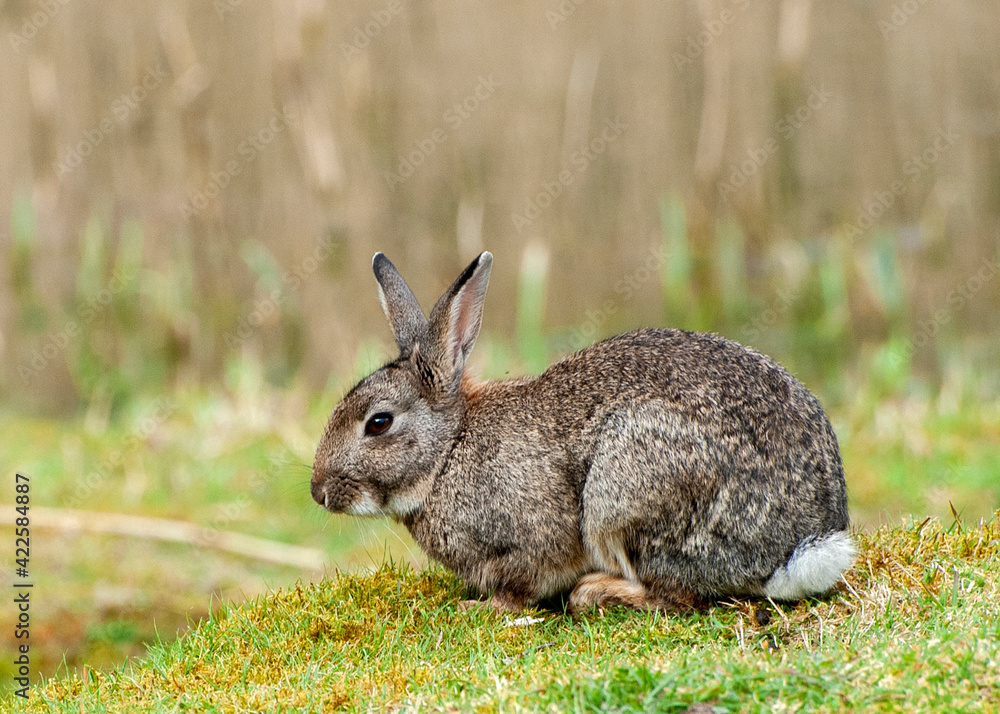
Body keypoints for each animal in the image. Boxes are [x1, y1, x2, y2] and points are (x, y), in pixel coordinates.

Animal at [311, 251, 855, 613]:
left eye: (378, 422)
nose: (318, 493)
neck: (449, 451)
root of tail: (794, 549)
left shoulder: (532, 539)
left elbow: (521, 584)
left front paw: (480, 608)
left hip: (625, 490)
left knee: (675, 594)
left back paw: (596, 591)